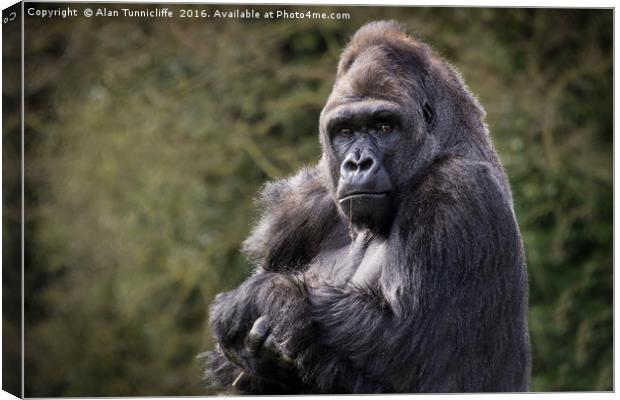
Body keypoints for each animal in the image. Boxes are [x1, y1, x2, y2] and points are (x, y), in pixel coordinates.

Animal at [201, 20, 532, 392]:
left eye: (383, 126)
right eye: (345, 130)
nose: (358, 163)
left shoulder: (457, 189)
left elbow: (407, 338)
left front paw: (263, 297)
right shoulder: (302, 205)